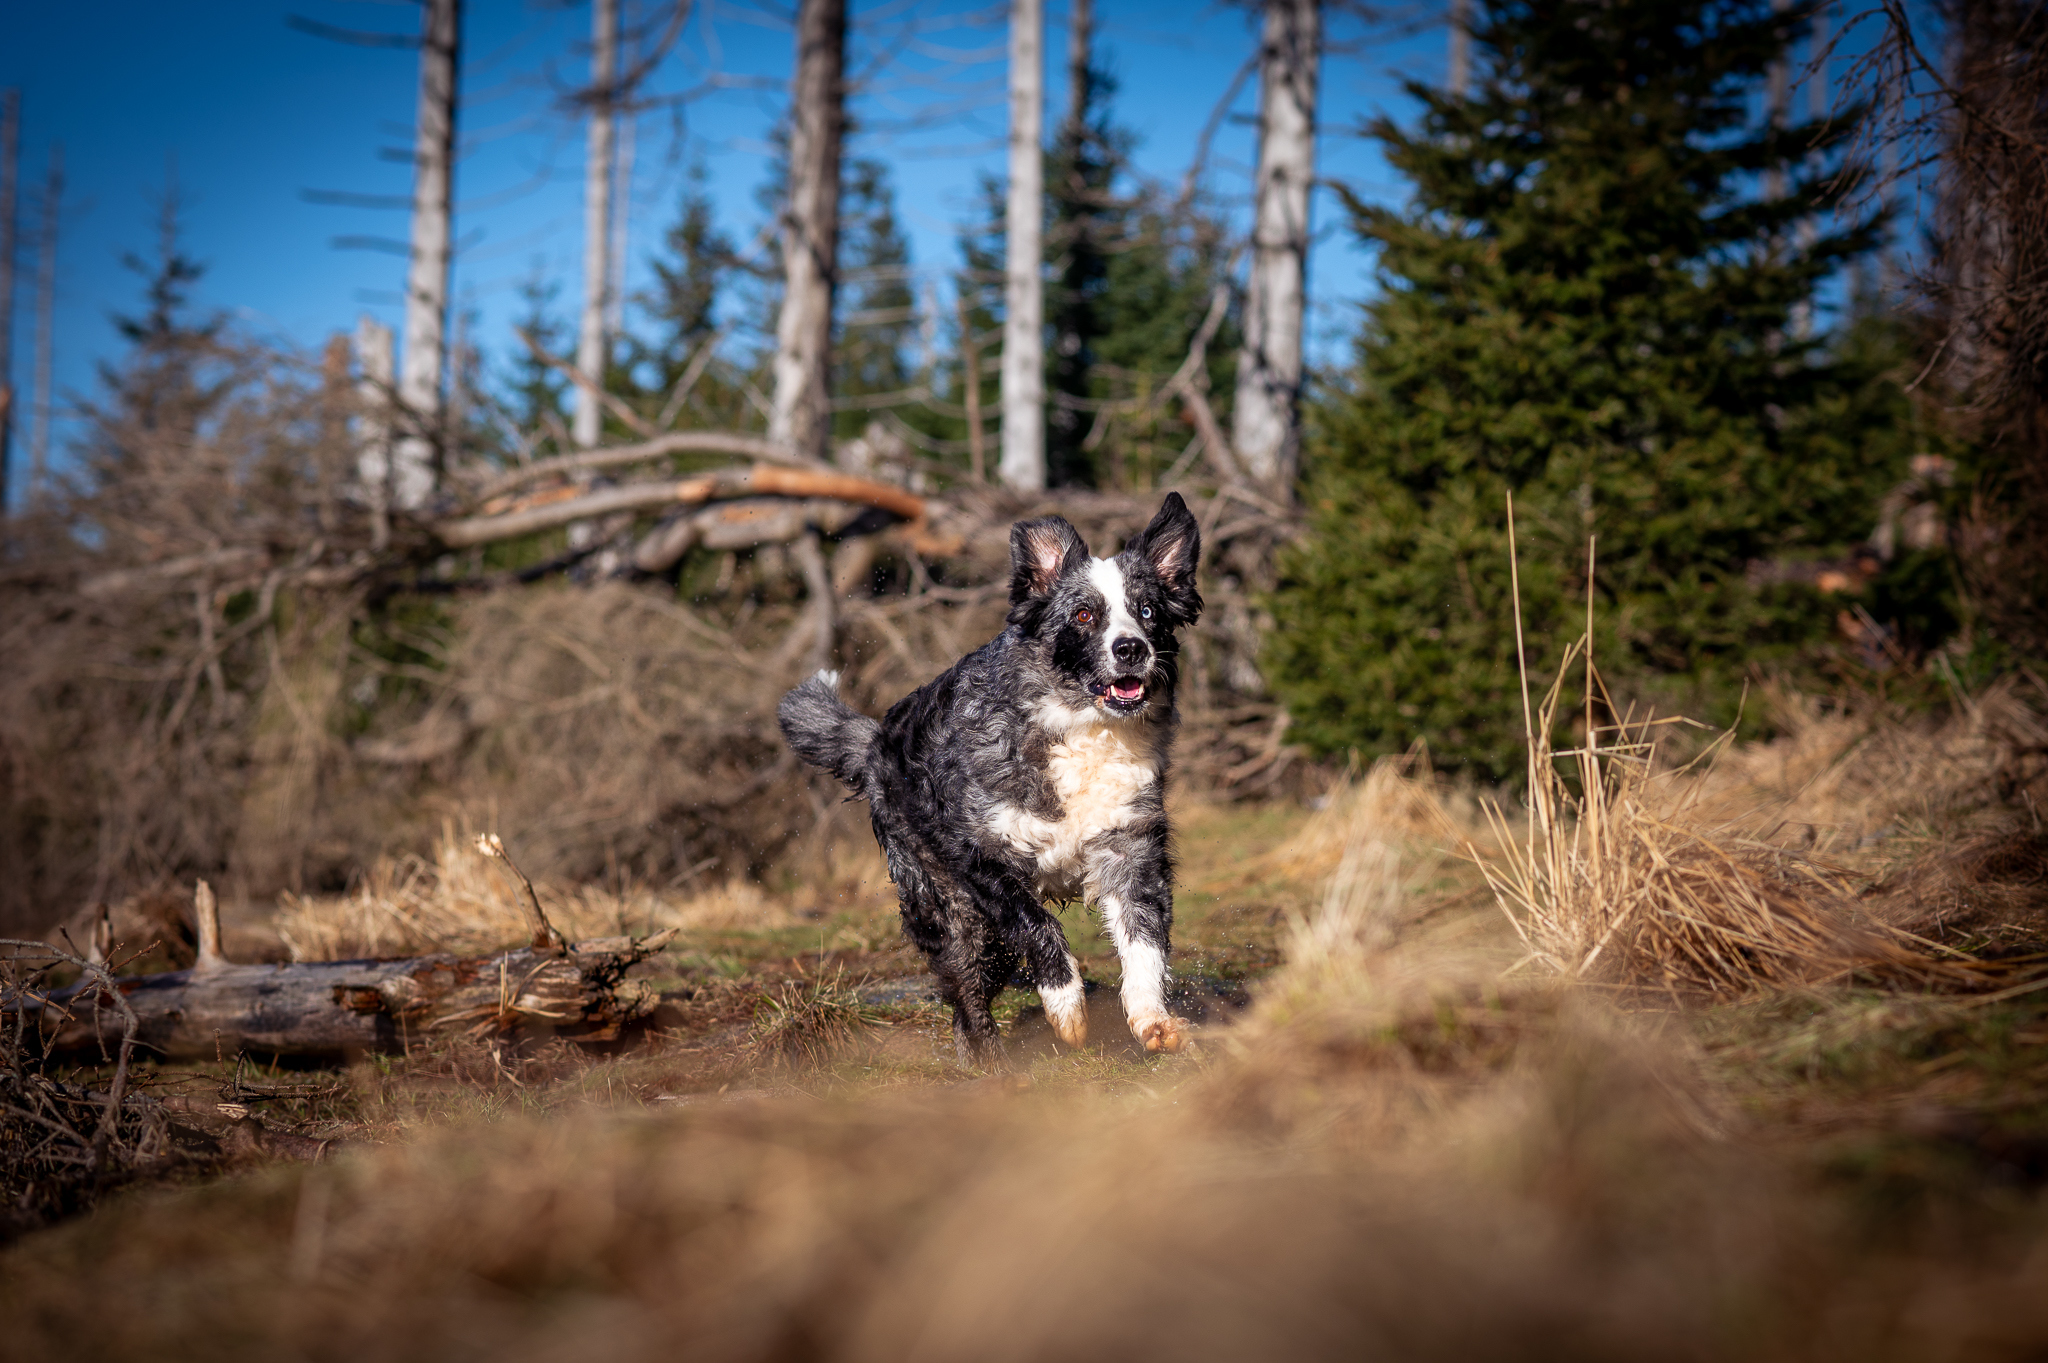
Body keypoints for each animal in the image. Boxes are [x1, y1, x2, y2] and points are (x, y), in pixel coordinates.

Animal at [778, 489, 1196, 1064]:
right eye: (1084, 615)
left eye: (1148, 611)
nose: (1130, 648)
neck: (1081, 729)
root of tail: (876, 740)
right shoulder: (980, 858)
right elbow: (1038, 925)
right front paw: (1066, 1009)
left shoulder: (1130, 848)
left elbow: (1144, 942)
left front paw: (1153, 1019)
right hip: (954, 914)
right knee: (965, 996)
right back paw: (990, 1063)